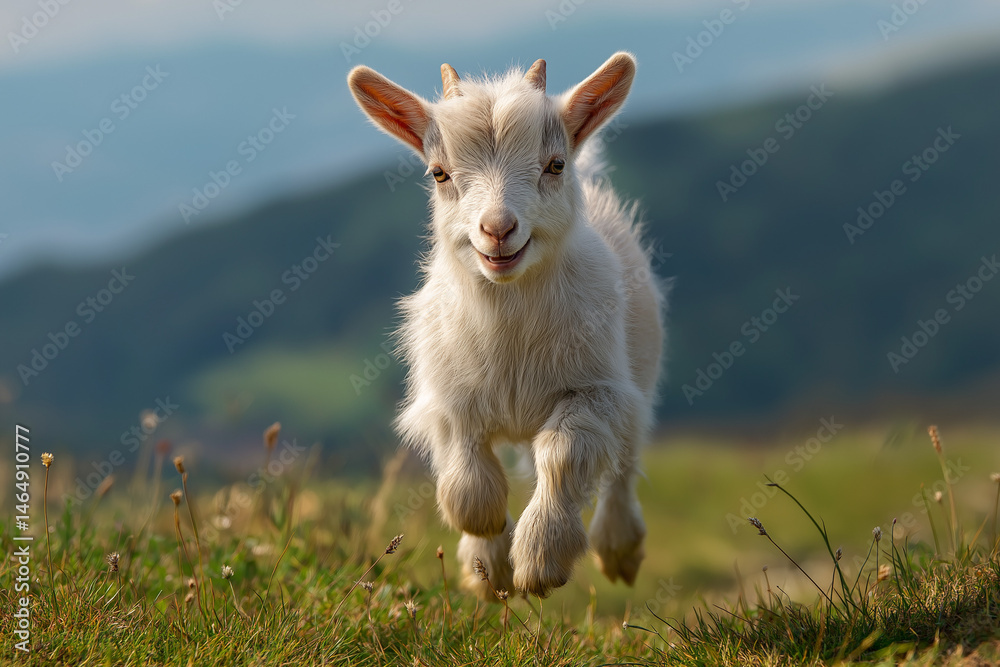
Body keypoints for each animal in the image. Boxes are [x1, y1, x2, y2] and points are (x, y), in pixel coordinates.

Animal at [347, 53, 665, 598]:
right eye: (438, 173)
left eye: (555, 165)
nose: (497, 230)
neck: (510, 328)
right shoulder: (448, 397)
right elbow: (468, 484)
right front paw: (490, 555)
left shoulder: (594, 390)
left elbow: (561, 454)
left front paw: (539, 561)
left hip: (637, 375)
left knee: (624, 461)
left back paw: (619, 548)